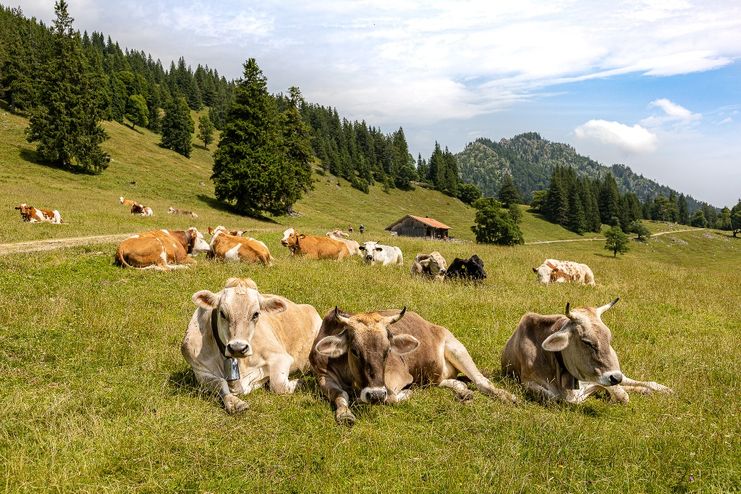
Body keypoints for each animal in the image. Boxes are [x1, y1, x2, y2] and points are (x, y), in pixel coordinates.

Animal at [182, 278, 320, 412]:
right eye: (222, 313)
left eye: (256, 314)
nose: (238, 348)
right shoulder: (200, 371)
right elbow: (220, 384)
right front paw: (235, 403)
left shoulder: (281, 357)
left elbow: (278, 385)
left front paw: (300, 382)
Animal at [310, 304, 516, 424]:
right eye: (354, 350)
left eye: (388, 350)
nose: (376, 395)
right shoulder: (323, 376)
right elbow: (340, 395)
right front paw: (345, 413)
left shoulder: (398, 376)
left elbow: (392, 397)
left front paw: (407, 393)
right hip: (435, 375)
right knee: (448, 382)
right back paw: (464, 392)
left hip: (456, 347)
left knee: (482, 382)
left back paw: (507, 396)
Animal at [500, 300, 672, 404]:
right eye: (587, 342)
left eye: (609, 338)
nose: (615, 377)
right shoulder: (528, 382)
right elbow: (556, 398)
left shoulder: (596, 378)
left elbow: (622, 394)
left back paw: (661, 389)